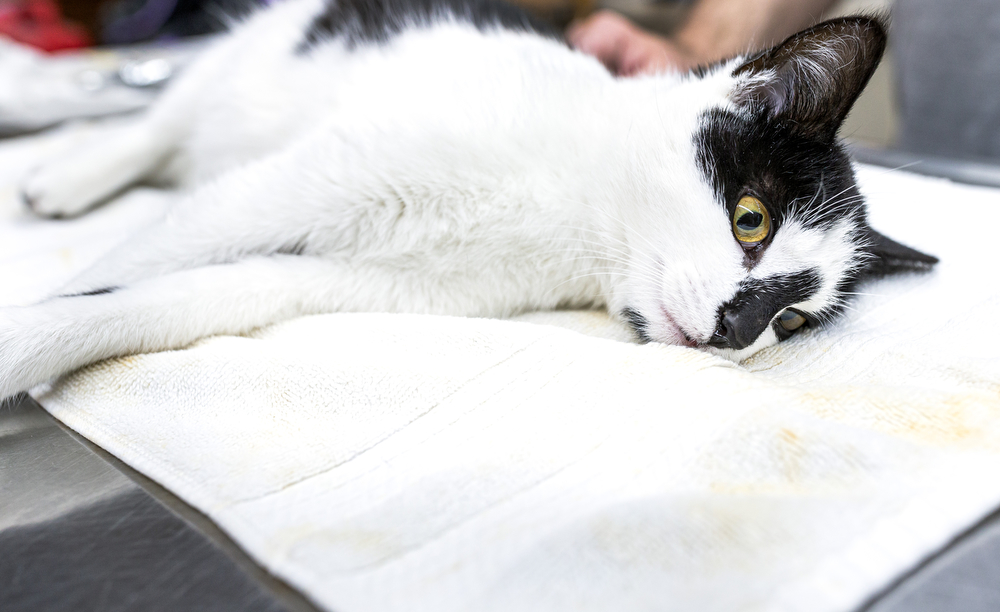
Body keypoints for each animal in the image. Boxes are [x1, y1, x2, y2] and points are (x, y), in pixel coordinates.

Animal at [1, 0, 936, 402]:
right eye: (751, 220)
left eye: (794, 320)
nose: (741, 328)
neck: (567, 213)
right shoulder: (308, 180)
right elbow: (144, 257)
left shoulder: (359, 281)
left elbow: (171, 296)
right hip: (257, 58)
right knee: (164, 119)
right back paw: (73, 175)